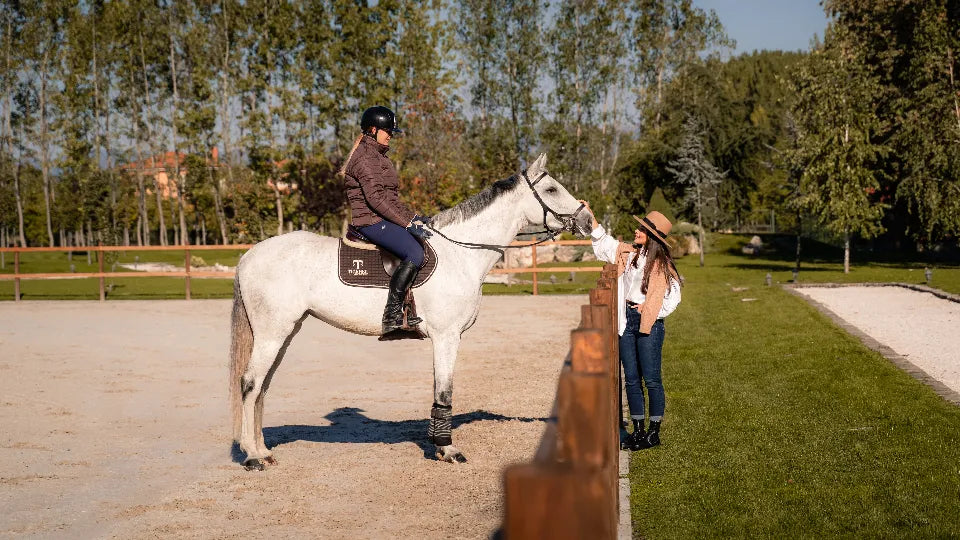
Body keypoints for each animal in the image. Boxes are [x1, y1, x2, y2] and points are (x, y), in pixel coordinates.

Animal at [229, 153, 593, 470]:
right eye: (551, 189)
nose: (588, 220)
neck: (459, 254)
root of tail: (248, 256)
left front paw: (439, 443)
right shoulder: (446, 337)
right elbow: (444, 389)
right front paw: (447, 450)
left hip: (285, 332)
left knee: (262, 387)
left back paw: (262, 449)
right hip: (272, 333)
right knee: (250, 383)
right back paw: (253, 456)